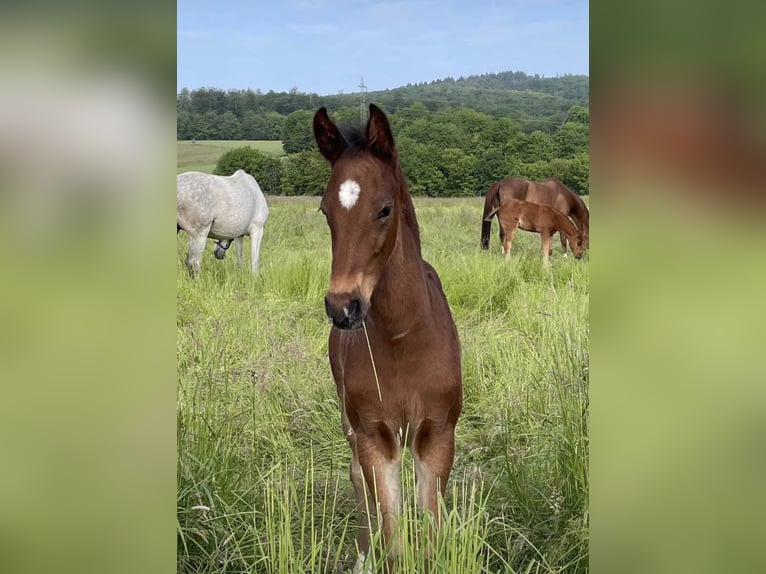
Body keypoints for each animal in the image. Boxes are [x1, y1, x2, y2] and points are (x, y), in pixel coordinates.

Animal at [312, 104, 462, 572]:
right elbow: (393, 539)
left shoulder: (436, 432)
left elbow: (430, 533)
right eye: (325, 211)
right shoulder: (375, 434)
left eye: (384, 209)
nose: (342, 307)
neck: (402, 336)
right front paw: (375, 553)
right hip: (349, 420)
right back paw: (363, 553)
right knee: (355, 477)